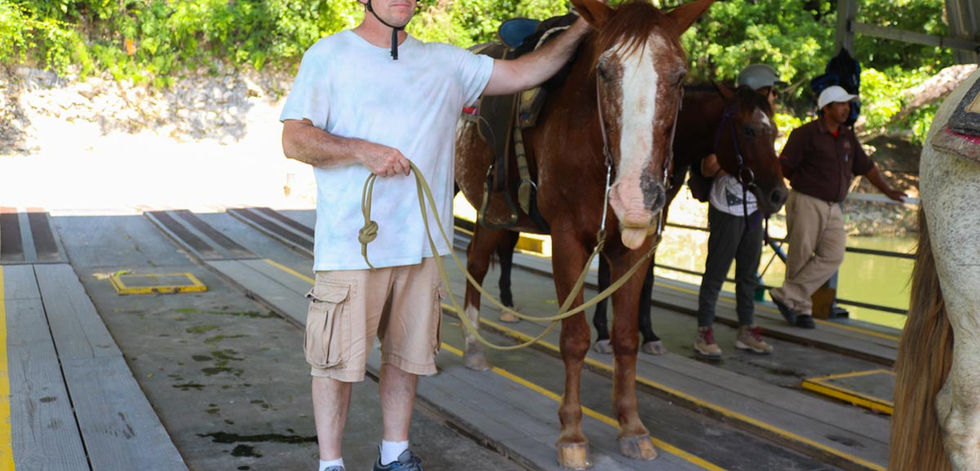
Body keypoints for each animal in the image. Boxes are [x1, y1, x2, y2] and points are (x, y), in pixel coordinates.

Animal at [455, 0, 716, 467]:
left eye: (680, 75)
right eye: (603, 72)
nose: (634, 196)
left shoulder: (636, 248)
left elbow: (626, 338)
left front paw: (632, 426)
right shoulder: (568, 240)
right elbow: (574, 338)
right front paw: (572, 434)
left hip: (492, 214)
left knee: (477, 262)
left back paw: (473, 345)